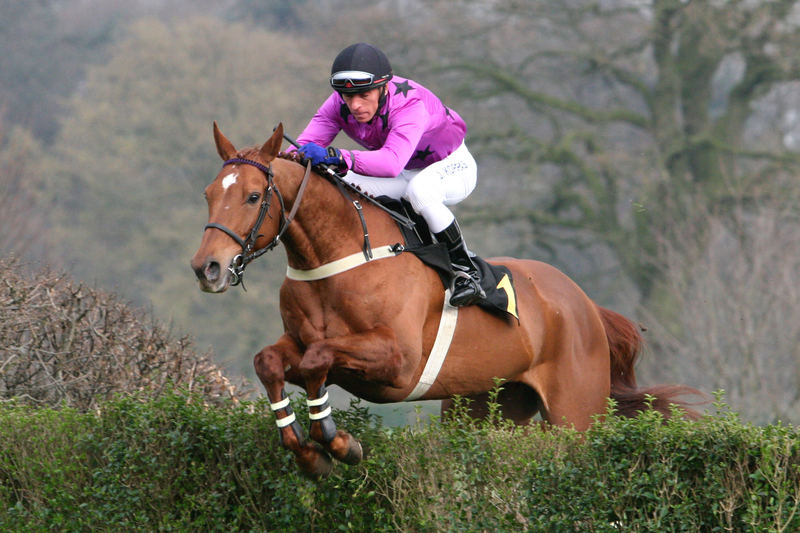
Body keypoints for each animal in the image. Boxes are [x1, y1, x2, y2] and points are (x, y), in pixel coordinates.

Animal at [189, 123, 700, 478]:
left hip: (575, 413)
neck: (340, 257)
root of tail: (587, 305)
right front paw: (309, 452)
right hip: (486, 408)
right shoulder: (302, 344)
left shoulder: (396, 360)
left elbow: (318, 358)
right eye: (209, 193)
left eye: (253, 195)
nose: (206, 267)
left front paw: (338, 442)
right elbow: (271, 362)